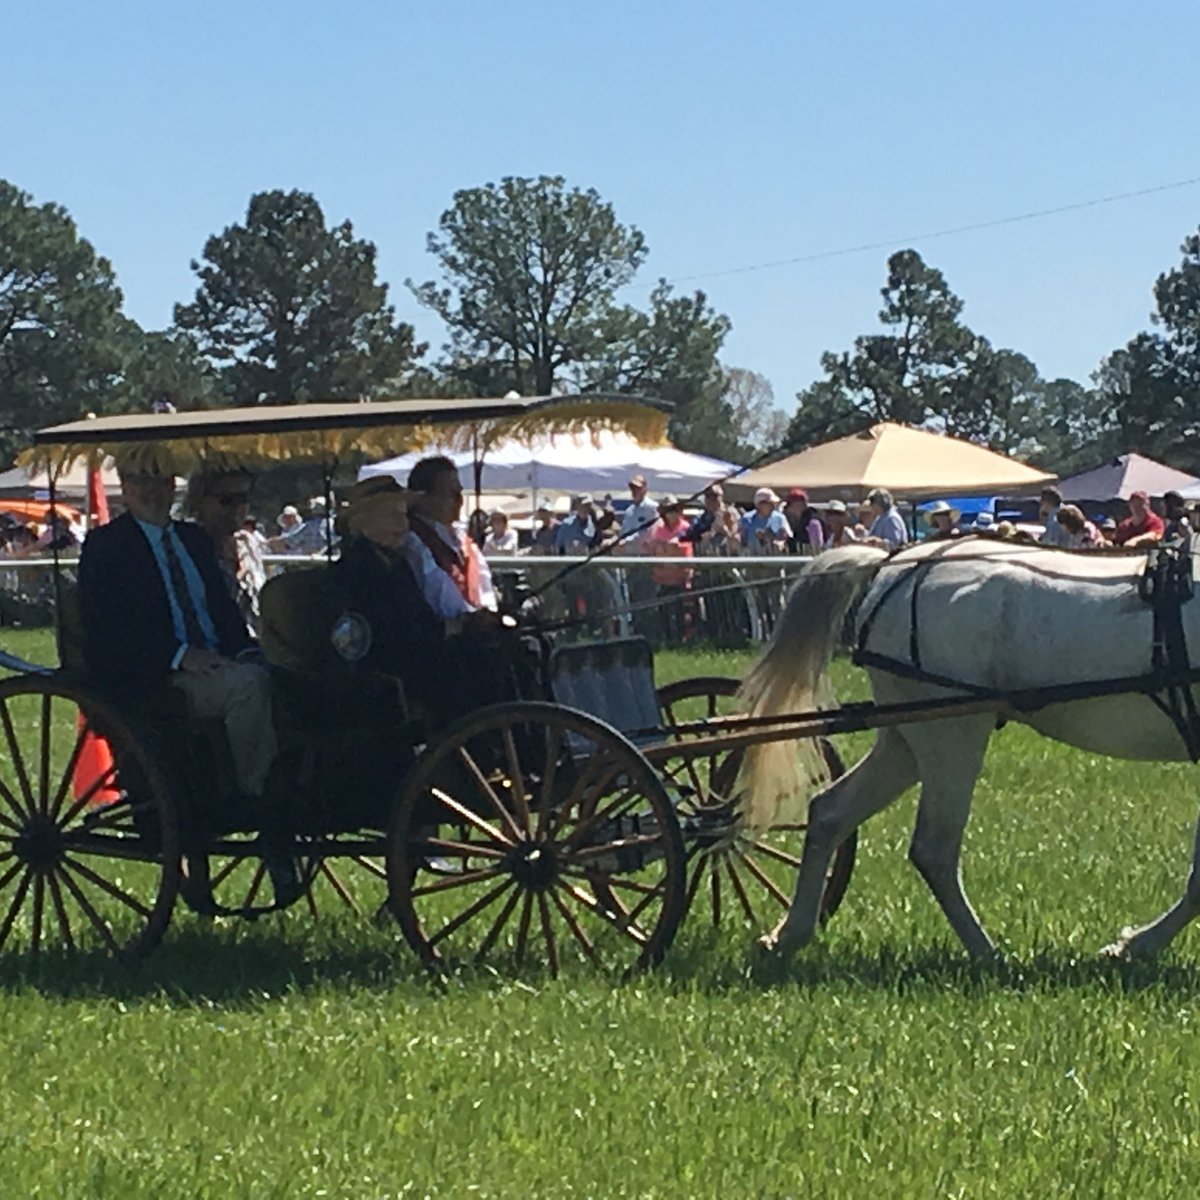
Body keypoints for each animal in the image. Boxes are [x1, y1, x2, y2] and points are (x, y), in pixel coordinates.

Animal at [739, 540, 1200, 960]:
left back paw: (788, 935)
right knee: (933, 849)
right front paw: (1138, 945)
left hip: (908, 743)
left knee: (830, 813)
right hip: (952, 738)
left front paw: (1135, 946)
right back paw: (986, 954)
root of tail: (892, 564)